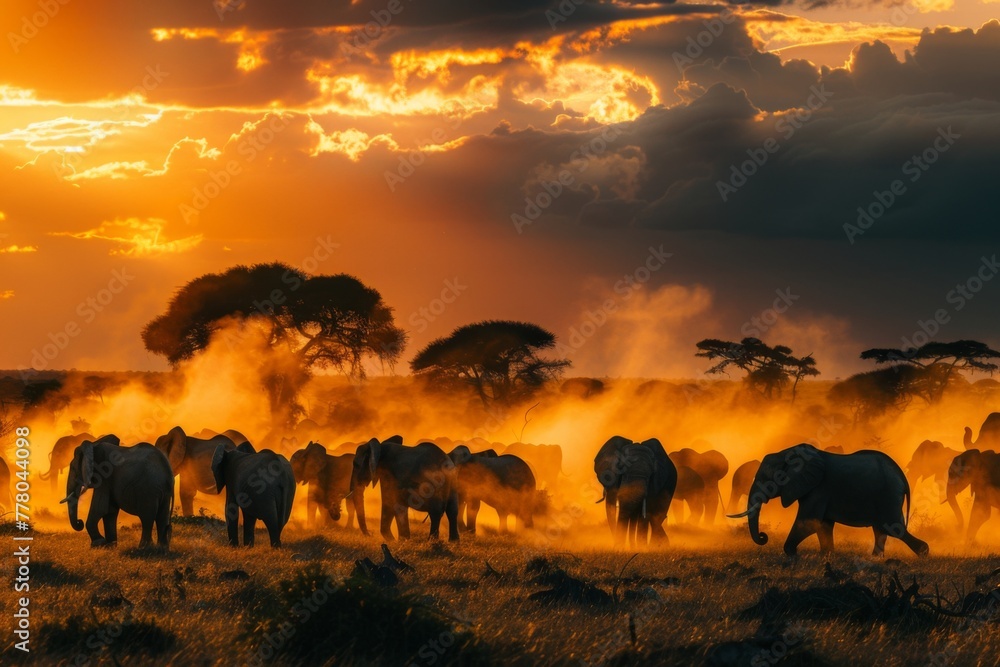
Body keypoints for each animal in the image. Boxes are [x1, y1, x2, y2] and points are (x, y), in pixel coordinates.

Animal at [728, 444, 928, 560]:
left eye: (769, 479)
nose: (764, 536)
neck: (786, 454)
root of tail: (902, 477)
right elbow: (823, 525)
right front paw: (827, 556)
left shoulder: (819, 489)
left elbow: (809, 522)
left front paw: (791, 553)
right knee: (881, 529)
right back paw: (875, 558)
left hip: (888, 495)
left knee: (894, 528)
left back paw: (923, 552)